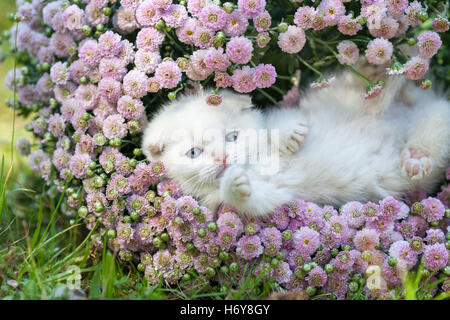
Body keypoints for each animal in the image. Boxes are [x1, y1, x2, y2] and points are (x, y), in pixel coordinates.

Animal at [143, 66, 450, 219]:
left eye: (232, 137)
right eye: (194, 152)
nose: (223, 159)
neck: (258, 163)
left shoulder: (281, 114)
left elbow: (279, 120)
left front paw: (289, 134)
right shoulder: (270, 192)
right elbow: (254, 200)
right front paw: (235, 184)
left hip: (349, 93)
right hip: (430, 126)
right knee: (438, 120)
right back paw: (417, 156)